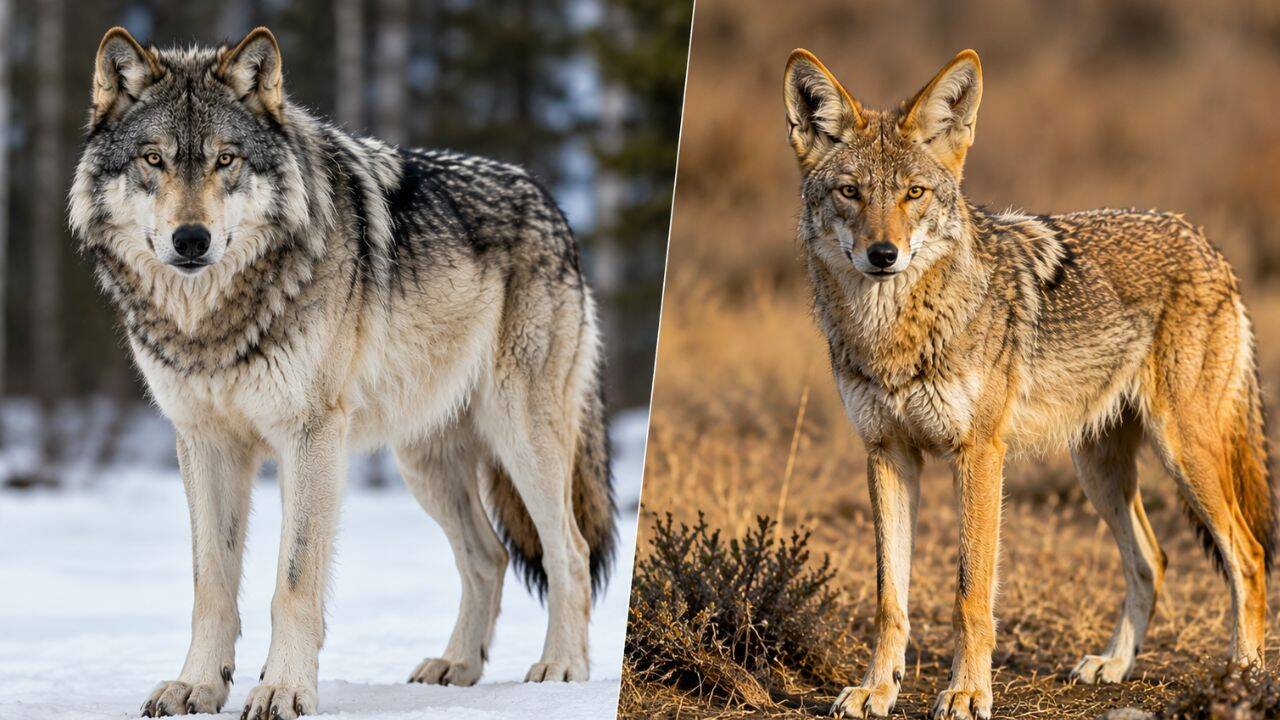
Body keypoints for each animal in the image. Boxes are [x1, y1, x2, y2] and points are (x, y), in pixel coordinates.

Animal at [68, 26, 617, 719]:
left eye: (226, 161)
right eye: (153, 159)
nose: (191, 239)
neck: (214, 322)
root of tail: (552, 203)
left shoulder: (310, 437)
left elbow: (294, 581)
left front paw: (282, 689)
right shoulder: (204, 442)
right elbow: (211, 584)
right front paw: (197, 685)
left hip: (523, 440)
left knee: (568, 551)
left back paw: (560, 667)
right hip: (425, 463)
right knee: (487, 557)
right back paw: (457, 665)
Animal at [783, 48, 1274, 719]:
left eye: (914, 193)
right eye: (850, 192)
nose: (883, 254)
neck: (895, 332)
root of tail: (1206, 243)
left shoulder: (979, 454)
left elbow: (970, 595)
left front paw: (966, 692)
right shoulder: (887, 454)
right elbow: (890, 598)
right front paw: (877, 689)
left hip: (1184, 454)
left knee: (1248, 557)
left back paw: (1244, 677)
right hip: (1099, 472)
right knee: (1153, 559)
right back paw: (1113, 665)